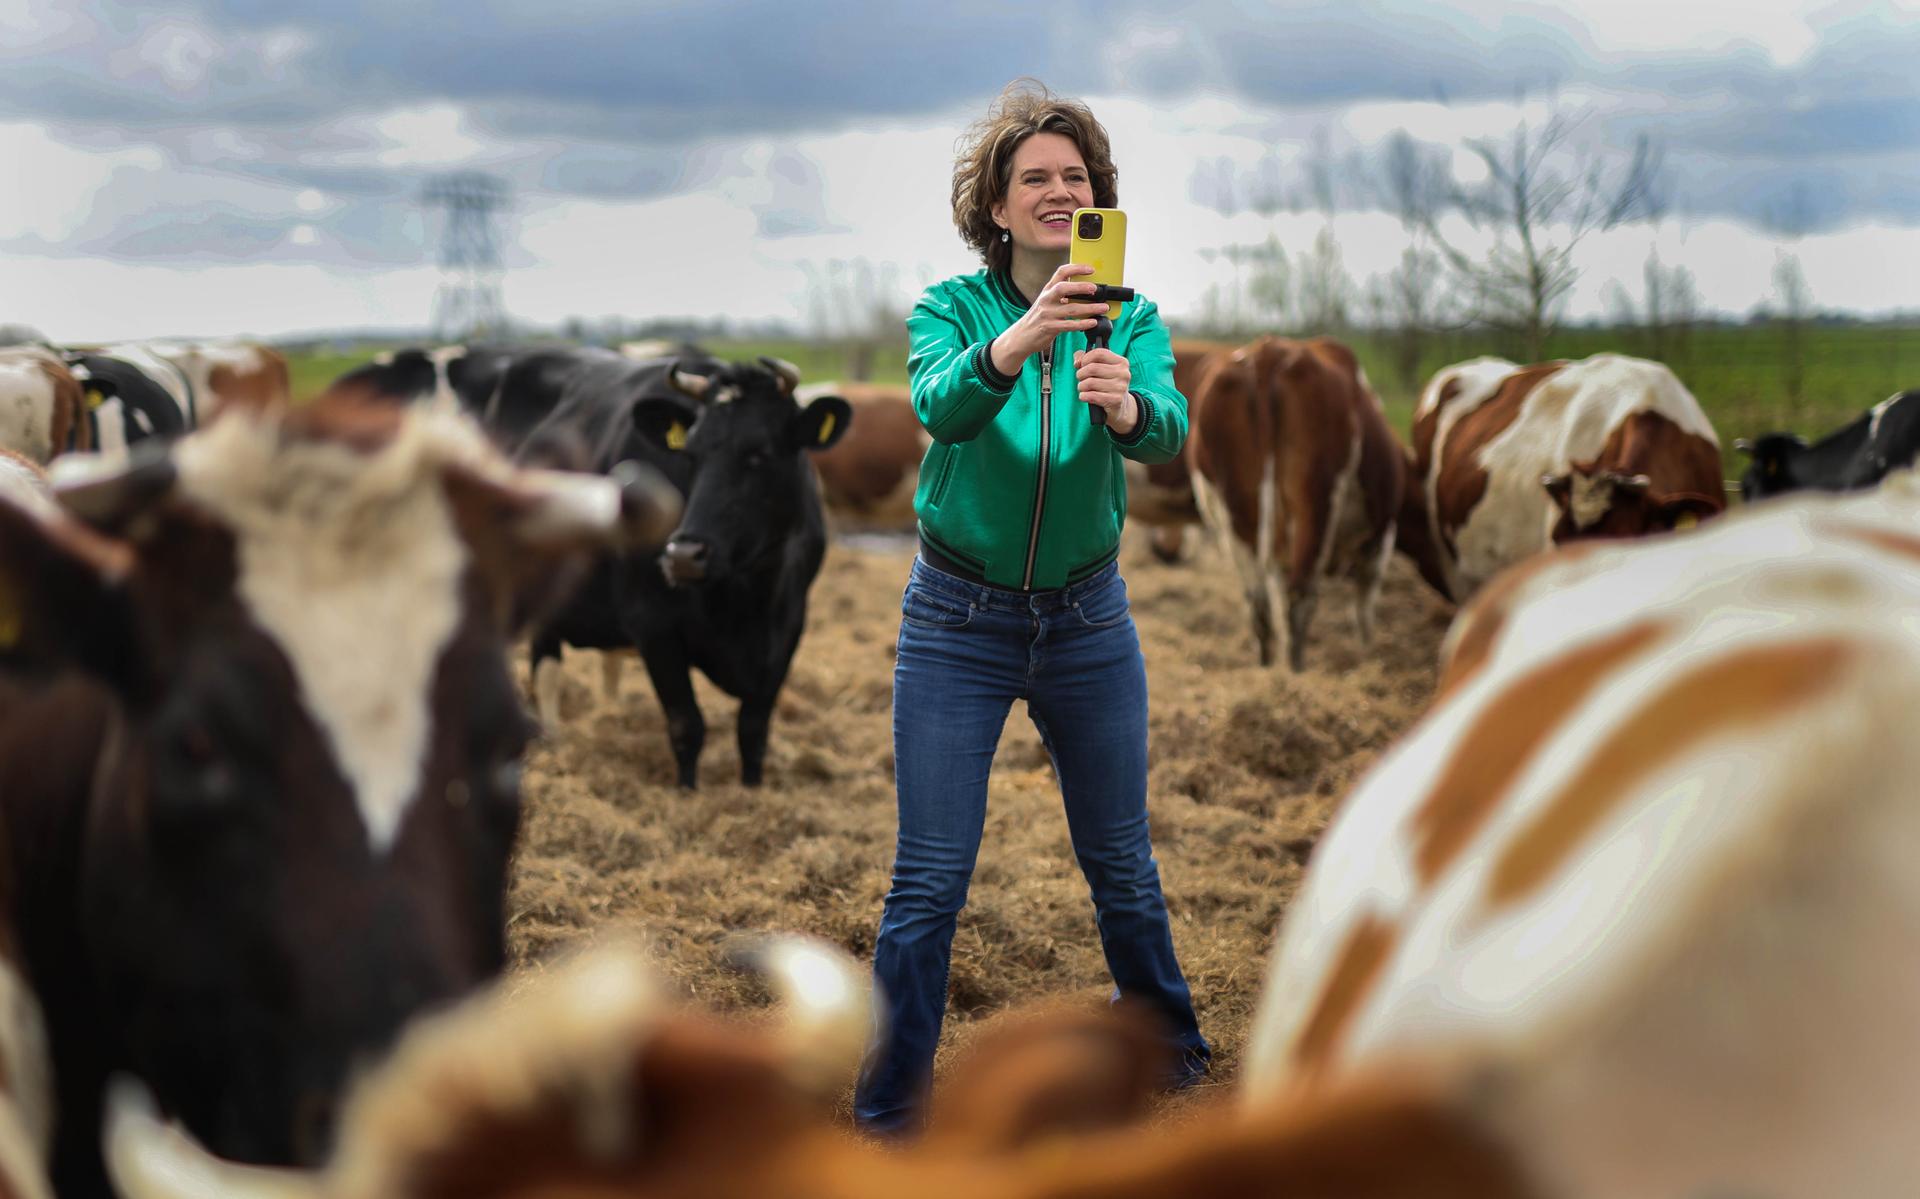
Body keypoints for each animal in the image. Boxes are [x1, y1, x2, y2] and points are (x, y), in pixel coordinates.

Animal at [526, 355, 856, 787]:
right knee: (542, 674)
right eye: (692, 455)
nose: (683, 555)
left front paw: (751, 789)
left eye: (760, 453)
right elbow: (687, 725)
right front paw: (687, 791)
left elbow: (753, 730)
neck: (747, 598)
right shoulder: (653, 626)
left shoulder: (788, 630)